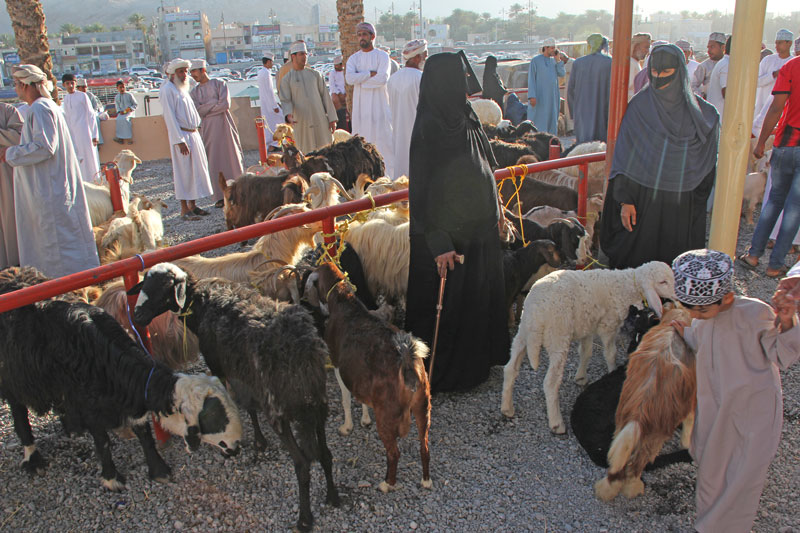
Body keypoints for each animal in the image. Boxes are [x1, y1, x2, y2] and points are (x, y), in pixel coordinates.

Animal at [0, 266, 242, 490]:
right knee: (20, 415)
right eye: (212, 418)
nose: (237, 446)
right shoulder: (90, 406)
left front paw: (159, 470)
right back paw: (33, 459)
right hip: (11, 378)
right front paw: (111, 478)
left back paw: (71, 428)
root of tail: (10, 272)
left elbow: (144, 432)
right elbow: (103, 441)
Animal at [133, 264, 340, 528]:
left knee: (302, 463)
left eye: (163, 287)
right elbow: (248, 405)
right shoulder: (242, 373)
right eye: (144, 283)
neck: (200, 304)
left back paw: (304, 519)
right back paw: (333, 496)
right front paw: (258, 441)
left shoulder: (220, 366)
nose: (137, 316)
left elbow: (238, 403)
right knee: (325, 453)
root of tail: (303, 350)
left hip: (279, 409)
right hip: (317, 404)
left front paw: (241, 443)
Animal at [500, 260, 676, 432]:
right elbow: (610, 353)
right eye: (663, 282)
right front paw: (612, 371)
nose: (675, 298)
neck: (627, 284)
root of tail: (537, 309)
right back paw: (556, 423)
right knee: (550, 382)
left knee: (510, 368)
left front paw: (581, 377)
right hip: (558, 336)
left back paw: (507, 408)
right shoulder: (608, 325)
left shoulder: (587, 325)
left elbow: (586, 352)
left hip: (523, 333)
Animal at [592, 302, 692, 500]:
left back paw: (606, 489)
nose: (632, 307)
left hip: (623, 420)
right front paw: (686, 442)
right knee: (636, 465)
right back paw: (633, 488)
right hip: (654, 434)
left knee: (619, 460)